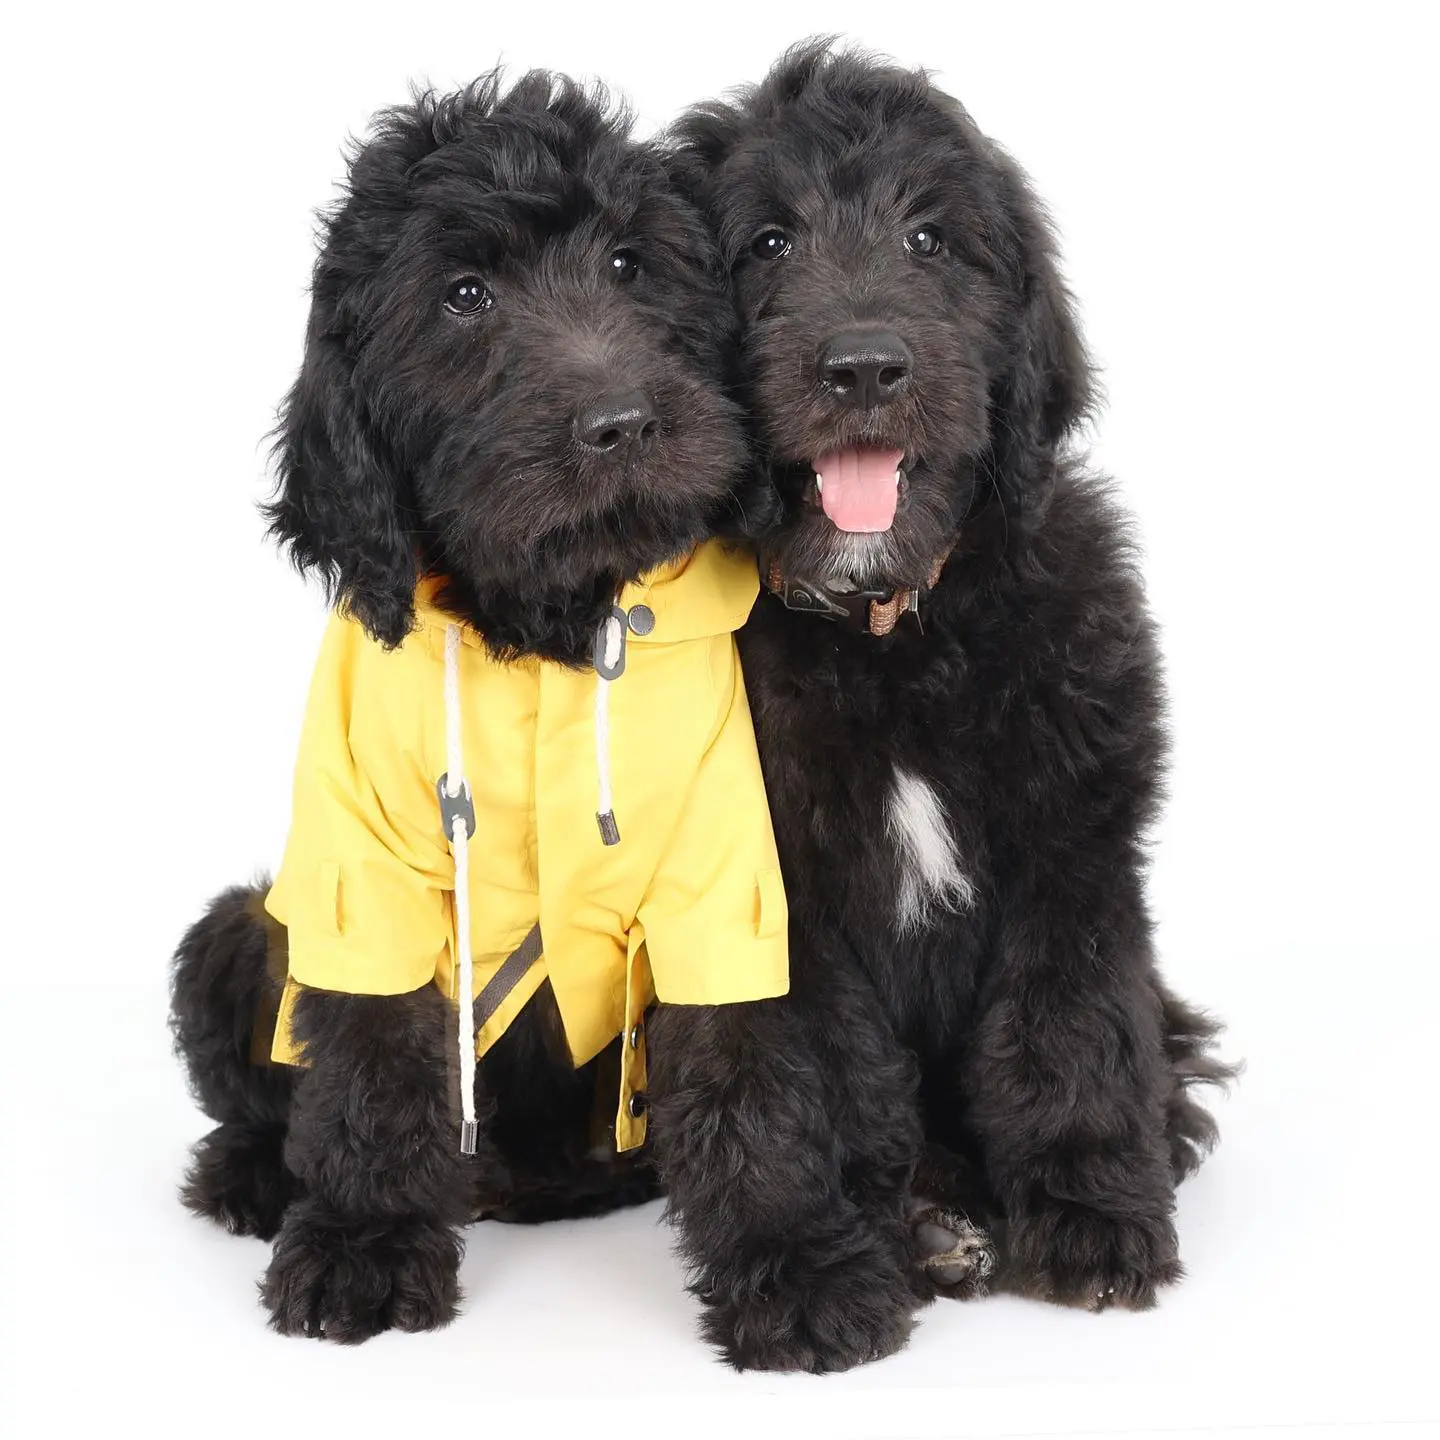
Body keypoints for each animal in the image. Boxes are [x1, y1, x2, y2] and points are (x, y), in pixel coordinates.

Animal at [168, 75, 789, 1336]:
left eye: (629, 264)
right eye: (464, 297)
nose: (622, 424)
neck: (544, 633)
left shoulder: (718, 867)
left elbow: (740, 1053)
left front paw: (799, 1263)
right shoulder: (365, 875)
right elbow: (372, 1056)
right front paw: (362, 1243)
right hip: (236, 928)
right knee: (258, 1092)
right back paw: (255, 1176)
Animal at [642, 47, 1238, 1370]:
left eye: (930, 239)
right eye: (767, 242)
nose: (865, 366)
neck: (887, 631)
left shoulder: (1070, 843)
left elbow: (1067, 1028)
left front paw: (1087, 1212)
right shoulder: (770, 902)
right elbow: (799, 1078)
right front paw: (817, 1271)